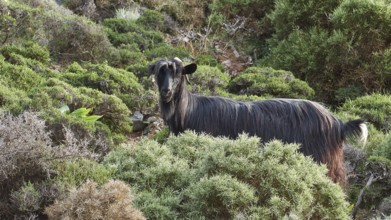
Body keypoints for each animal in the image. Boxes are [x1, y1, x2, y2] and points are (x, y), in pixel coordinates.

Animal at [149, 57, 368, 182]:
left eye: (179, 74)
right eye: (160, 72)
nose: (166, 91)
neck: (189, 110)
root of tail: (338, 123)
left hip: (323, 161)